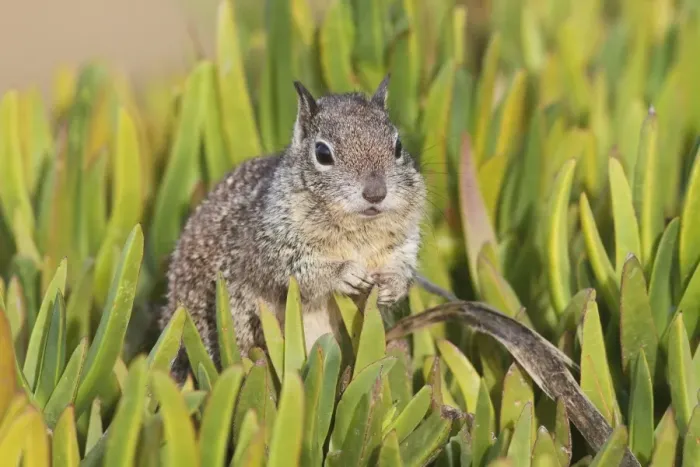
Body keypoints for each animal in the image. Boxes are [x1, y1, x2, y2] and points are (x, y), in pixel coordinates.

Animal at [157, 75, 427, 381]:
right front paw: (343, 273)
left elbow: (402, 264)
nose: (376, 193)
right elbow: (294, 272)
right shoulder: (266, 249)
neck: (359, 231)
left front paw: (394, 284)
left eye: (398, 146)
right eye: (322, 153)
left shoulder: (405, 242)